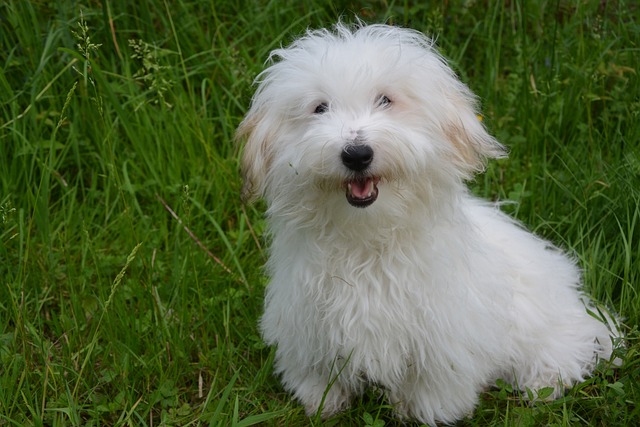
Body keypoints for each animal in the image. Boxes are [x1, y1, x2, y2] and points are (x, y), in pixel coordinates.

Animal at [238, 22, 616, 424]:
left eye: (386, 100)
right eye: (319, 108)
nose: (356, 154)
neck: (367, 239)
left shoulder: (442, 336)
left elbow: (432, 384)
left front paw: (419, 411)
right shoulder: (307, 323)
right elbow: (318, 372)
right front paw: (321, 400)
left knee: (568, 346)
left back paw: (543, 382)